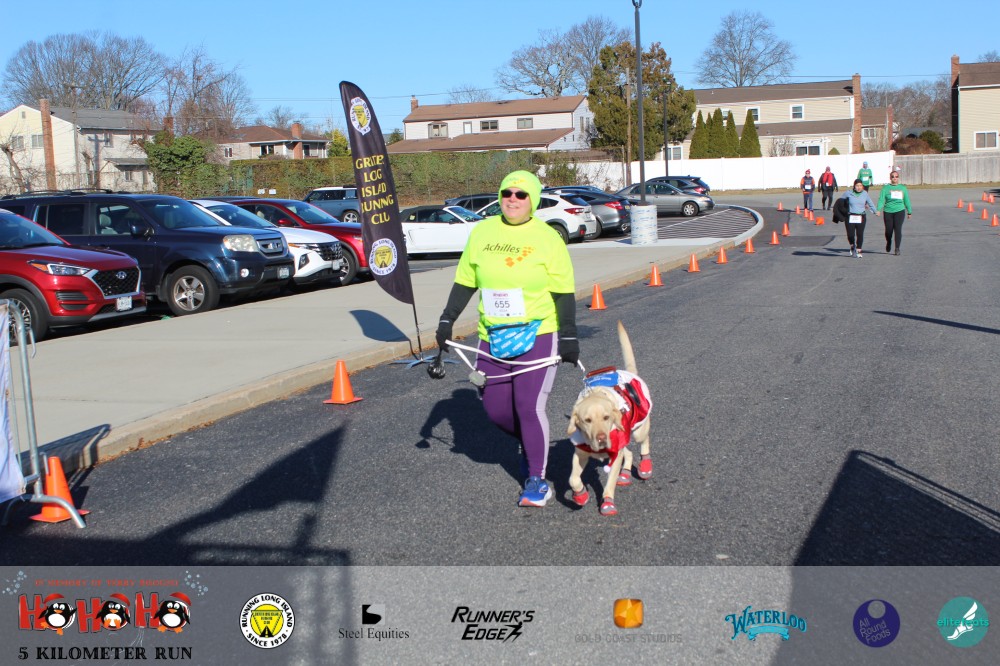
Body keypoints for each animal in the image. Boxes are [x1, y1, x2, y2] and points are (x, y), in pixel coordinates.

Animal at [567, 321, 652, 516]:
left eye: (606, 417)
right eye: (587, 420)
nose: (601, 438)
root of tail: (631, 373)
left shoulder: (615, 453)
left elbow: (610, 482)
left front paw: (607, 502)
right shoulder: (580, 453)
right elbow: (573, 479)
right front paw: (580, 495)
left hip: (638, 431)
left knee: (644, 442)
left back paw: (645, 466)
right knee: (628, 453)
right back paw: (626, 472)